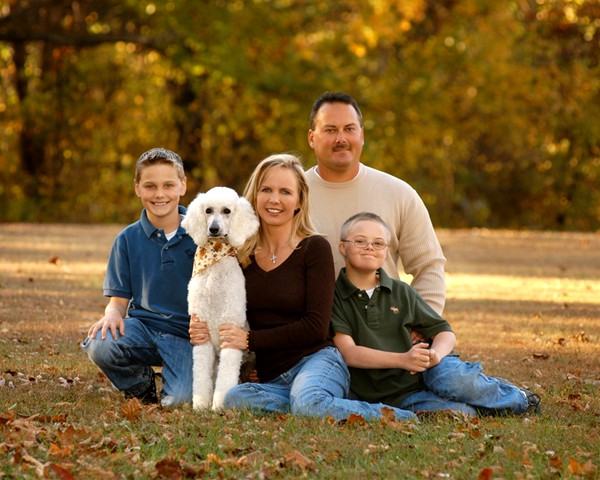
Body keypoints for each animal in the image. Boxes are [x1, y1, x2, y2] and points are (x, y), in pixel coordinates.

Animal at [182, 186, 259, 410]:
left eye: (227, 211)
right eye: (208, 210)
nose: (214, 229)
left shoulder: (230, 329)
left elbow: (226, 376)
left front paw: (218, 406)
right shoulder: (201, 330)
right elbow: (200, 374)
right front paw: (200, 405)